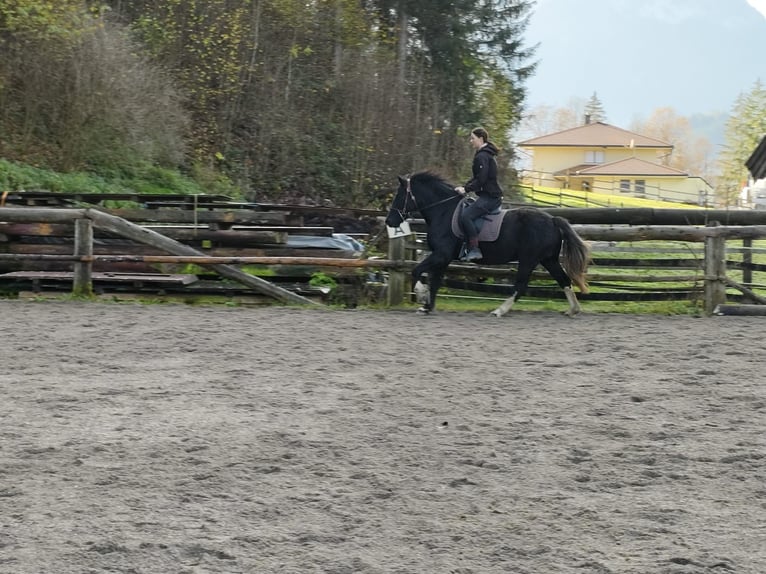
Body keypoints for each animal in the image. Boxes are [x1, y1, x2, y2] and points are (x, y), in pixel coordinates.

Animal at [384, 171, 592, 318]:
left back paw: (499, 310)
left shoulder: (440, 255)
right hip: (548, 259)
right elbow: (435, 281)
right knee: (564, 280)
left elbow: (417, 271)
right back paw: (573, 310)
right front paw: (427, 306)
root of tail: (552, 220)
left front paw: (420, 296)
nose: (389, 221)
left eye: (399, 195)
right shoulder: (443, 258)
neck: (443, 212)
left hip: (529, 259)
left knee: (520, 286)